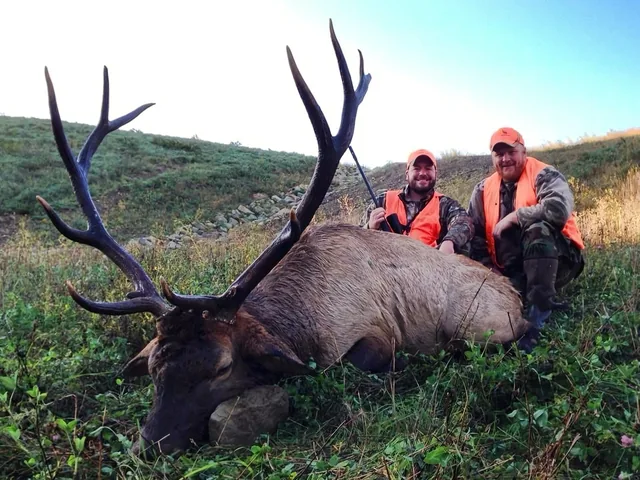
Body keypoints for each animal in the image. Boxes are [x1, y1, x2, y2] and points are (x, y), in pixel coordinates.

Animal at [37, 20, 533, 456]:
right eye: (156, 366)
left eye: (221, 367)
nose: (148, 446)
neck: (304, 324)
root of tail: (516, 294)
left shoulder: (373, 334)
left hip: (479, 325)